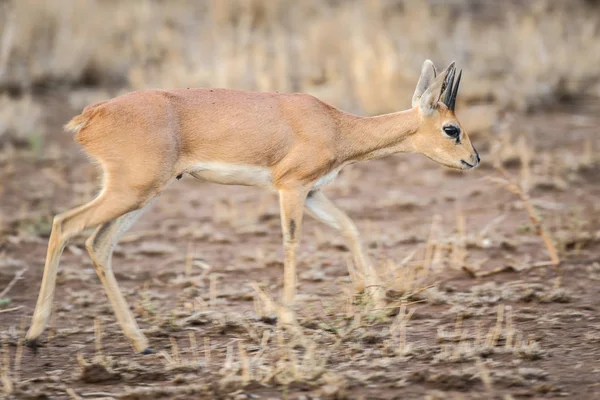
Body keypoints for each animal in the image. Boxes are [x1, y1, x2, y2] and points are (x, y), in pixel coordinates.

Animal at [25, 58, 480, 354]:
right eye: (451, 129)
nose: (474, 160)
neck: (335, 126)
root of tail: (92, 115)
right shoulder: (290, 188)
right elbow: (291, 243)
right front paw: (291, 323)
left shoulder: (314, 193)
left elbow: (350, 228)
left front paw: (381, 306)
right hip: (130, 191)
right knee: (65, 224)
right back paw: (33, 336)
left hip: (142, 194)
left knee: (98, 243)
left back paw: (139, 343)